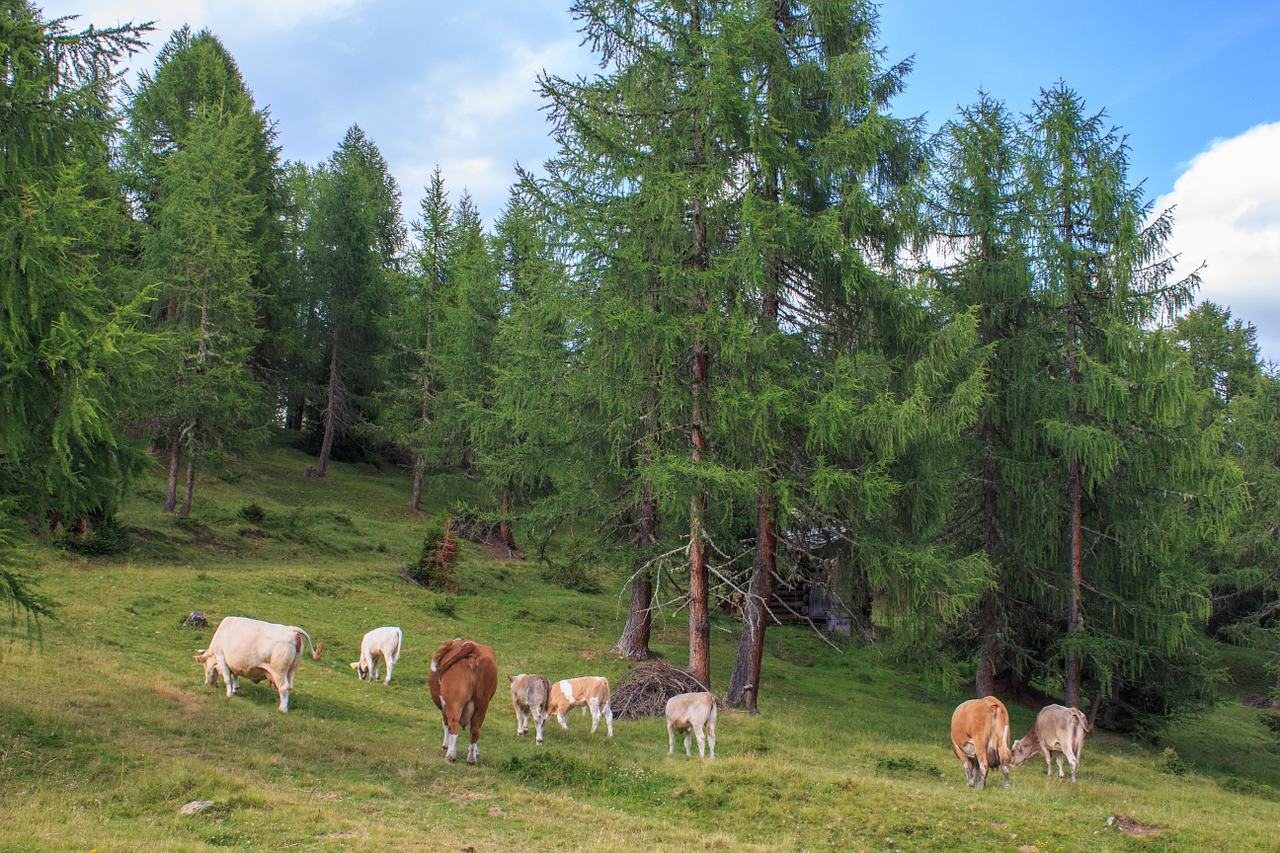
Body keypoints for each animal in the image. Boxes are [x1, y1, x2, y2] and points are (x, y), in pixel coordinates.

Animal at [197, 612, 325, 712]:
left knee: (284, 687)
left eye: (204, 665)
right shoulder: (234, 663)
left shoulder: (221, 657)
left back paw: (282, 709)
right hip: (291, 670)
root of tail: (291, 629)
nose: (207, 683)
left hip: (279, 670)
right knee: (290, 687)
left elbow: (227, 679)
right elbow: (235, 676)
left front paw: (229, 694)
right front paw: (236, 689)